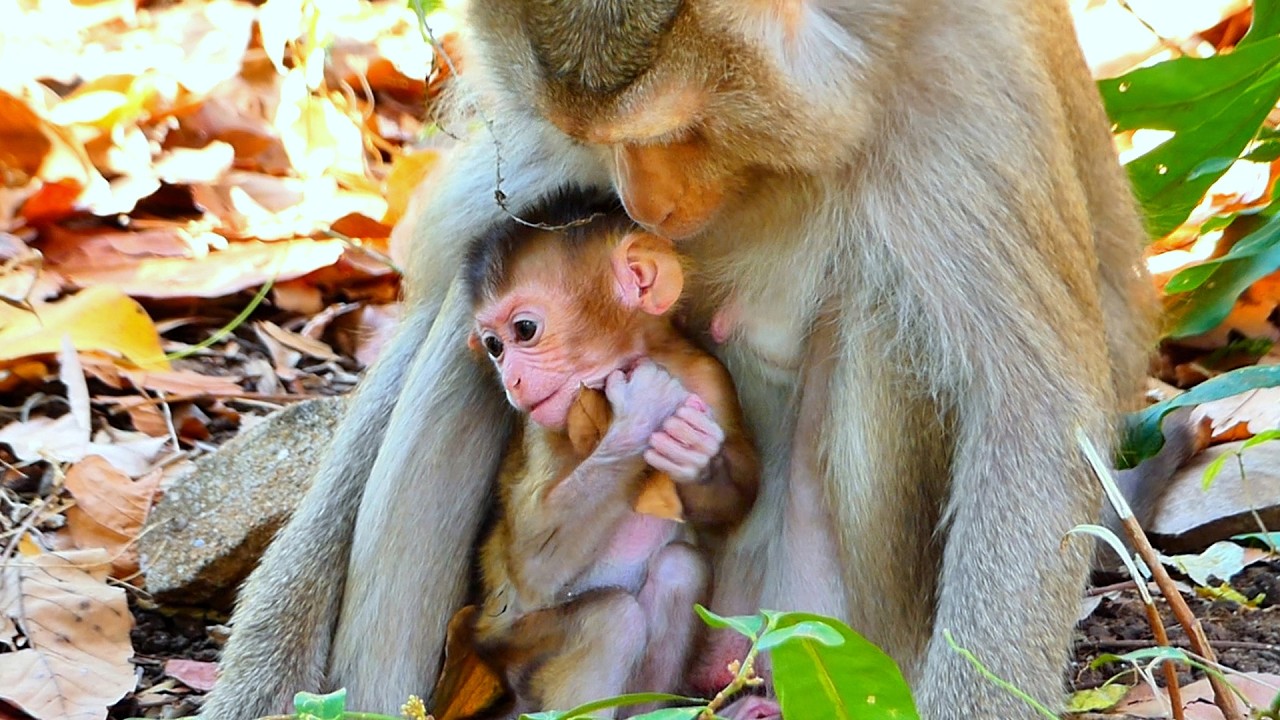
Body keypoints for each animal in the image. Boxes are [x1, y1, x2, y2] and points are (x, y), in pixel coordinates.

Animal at [455, 192, 760, 717]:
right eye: (493, 346)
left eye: (524, 330)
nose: (511, 379)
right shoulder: (546, 424)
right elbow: (534, 566)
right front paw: (641, 413)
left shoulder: (709, 376)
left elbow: (737, 498)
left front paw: (696, 456)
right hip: (515, 648)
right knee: (609, 619)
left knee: (680, 569)